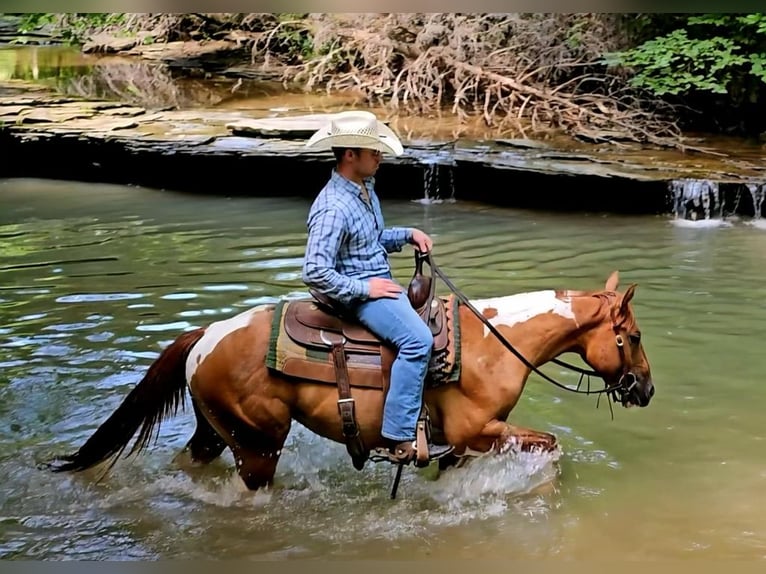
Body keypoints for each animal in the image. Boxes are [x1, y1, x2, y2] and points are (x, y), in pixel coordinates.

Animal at [46, 268, 655, 493]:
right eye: (633, 335)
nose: (645, 391)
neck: (492, 345)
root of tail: (207, 334)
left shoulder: (461, 443)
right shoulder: (476, 431)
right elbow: (549, 447)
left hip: (215, 430)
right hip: (257, 443)